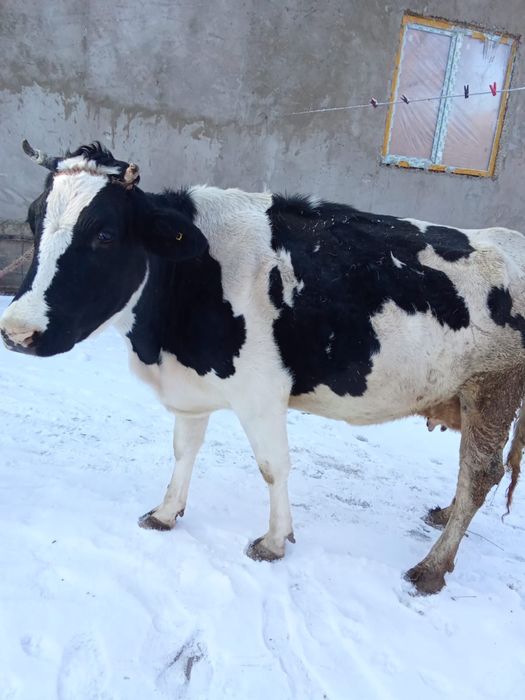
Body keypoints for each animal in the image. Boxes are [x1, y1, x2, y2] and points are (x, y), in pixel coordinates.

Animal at [1, 140, 525, 595]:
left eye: (105, 235)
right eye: (32, 218)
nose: (15, 330)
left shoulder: (261, 392)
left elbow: (273, 467)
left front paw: (273, 542)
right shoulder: (192, 389)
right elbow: (183, 451)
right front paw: (166, 513)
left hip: (493, 386)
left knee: (479, 474)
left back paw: (431, 568)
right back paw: (443, 515)